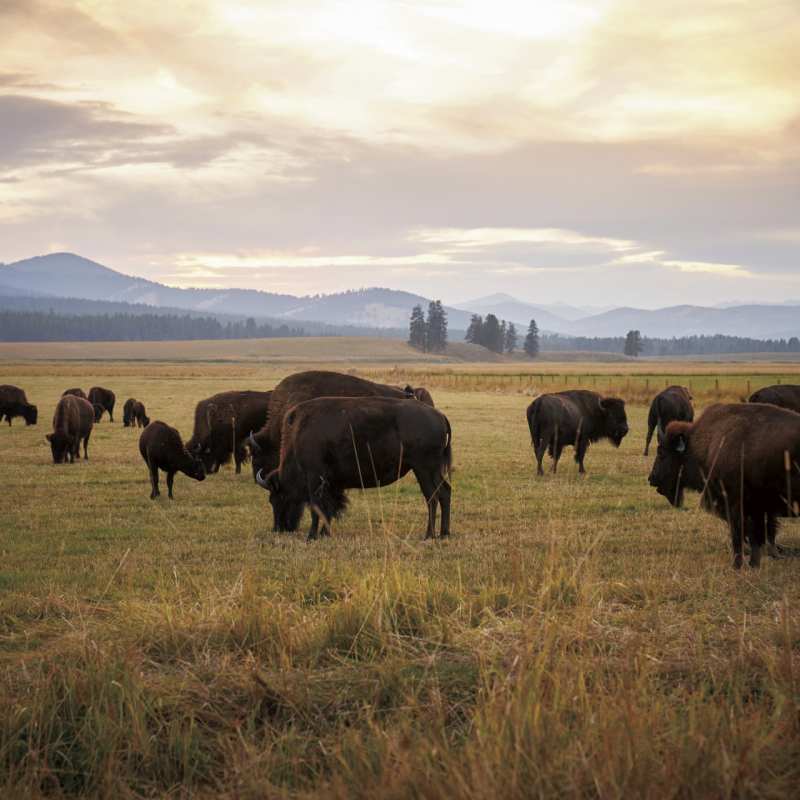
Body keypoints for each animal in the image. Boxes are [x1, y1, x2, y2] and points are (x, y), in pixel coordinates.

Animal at [648, 403, 800, 569]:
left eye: (661, 453)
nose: (652, 478)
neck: (708, 445)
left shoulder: (736, 505)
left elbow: (740, 536)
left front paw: (737, 565)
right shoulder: (759, 510)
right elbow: (758, 536)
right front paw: (754, 564)